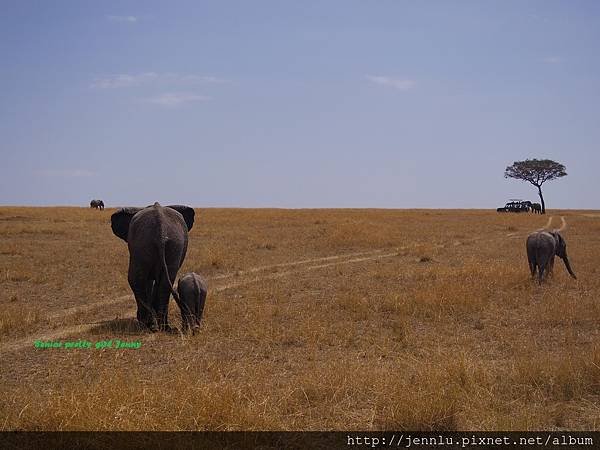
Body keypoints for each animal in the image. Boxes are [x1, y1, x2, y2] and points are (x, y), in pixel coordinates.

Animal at [111, 202, 196, 332]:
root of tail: (161, 229)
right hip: (171, 244)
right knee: (164, 282)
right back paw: (163, 326)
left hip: (145, 244)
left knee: (135, 279)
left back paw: (150, 325)